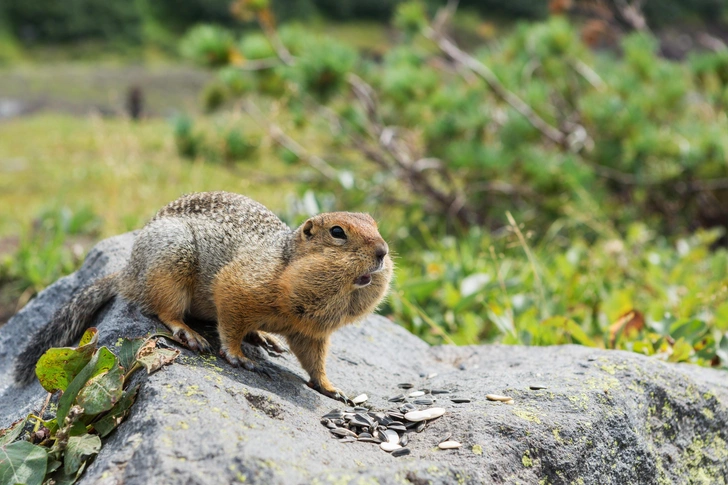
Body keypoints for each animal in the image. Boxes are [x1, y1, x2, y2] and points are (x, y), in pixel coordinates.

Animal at [14, 192, 392, 400]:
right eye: (338, 232)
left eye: (376, 224)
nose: (383, 251)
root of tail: (128, 272)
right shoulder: (238, 286)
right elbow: (231, 321)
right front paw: (238, 356)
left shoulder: (310, 332)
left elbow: (315, 360)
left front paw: (331, 387)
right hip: (170, 265)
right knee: (163, 309)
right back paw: (190, 333)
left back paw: (264, 337)